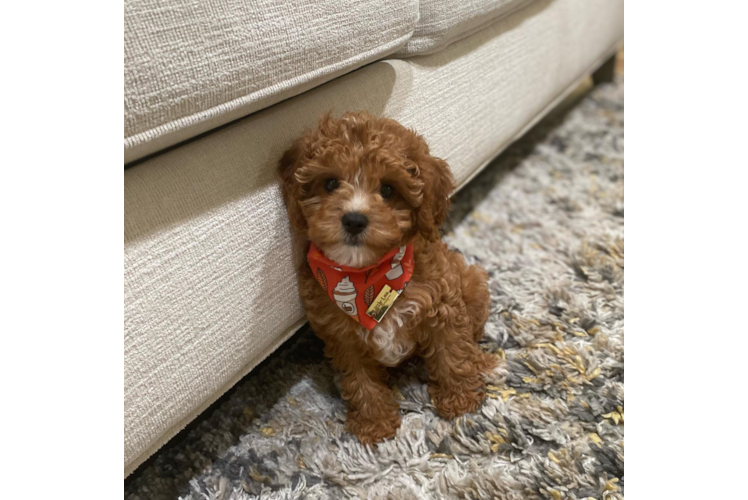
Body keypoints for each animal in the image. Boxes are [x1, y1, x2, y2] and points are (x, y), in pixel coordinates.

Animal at [278, 111, 494, 444]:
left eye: (389, 190)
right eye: (330, 183)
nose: (354, 220)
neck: (367, 274)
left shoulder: (442, 306)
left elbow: (452, 352)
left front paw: (461, 401)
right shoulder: (342, 337)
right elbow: (360, 381)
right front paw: (374, 424)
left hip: (470, 282)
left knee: (471, 335)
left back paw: (481, 362)